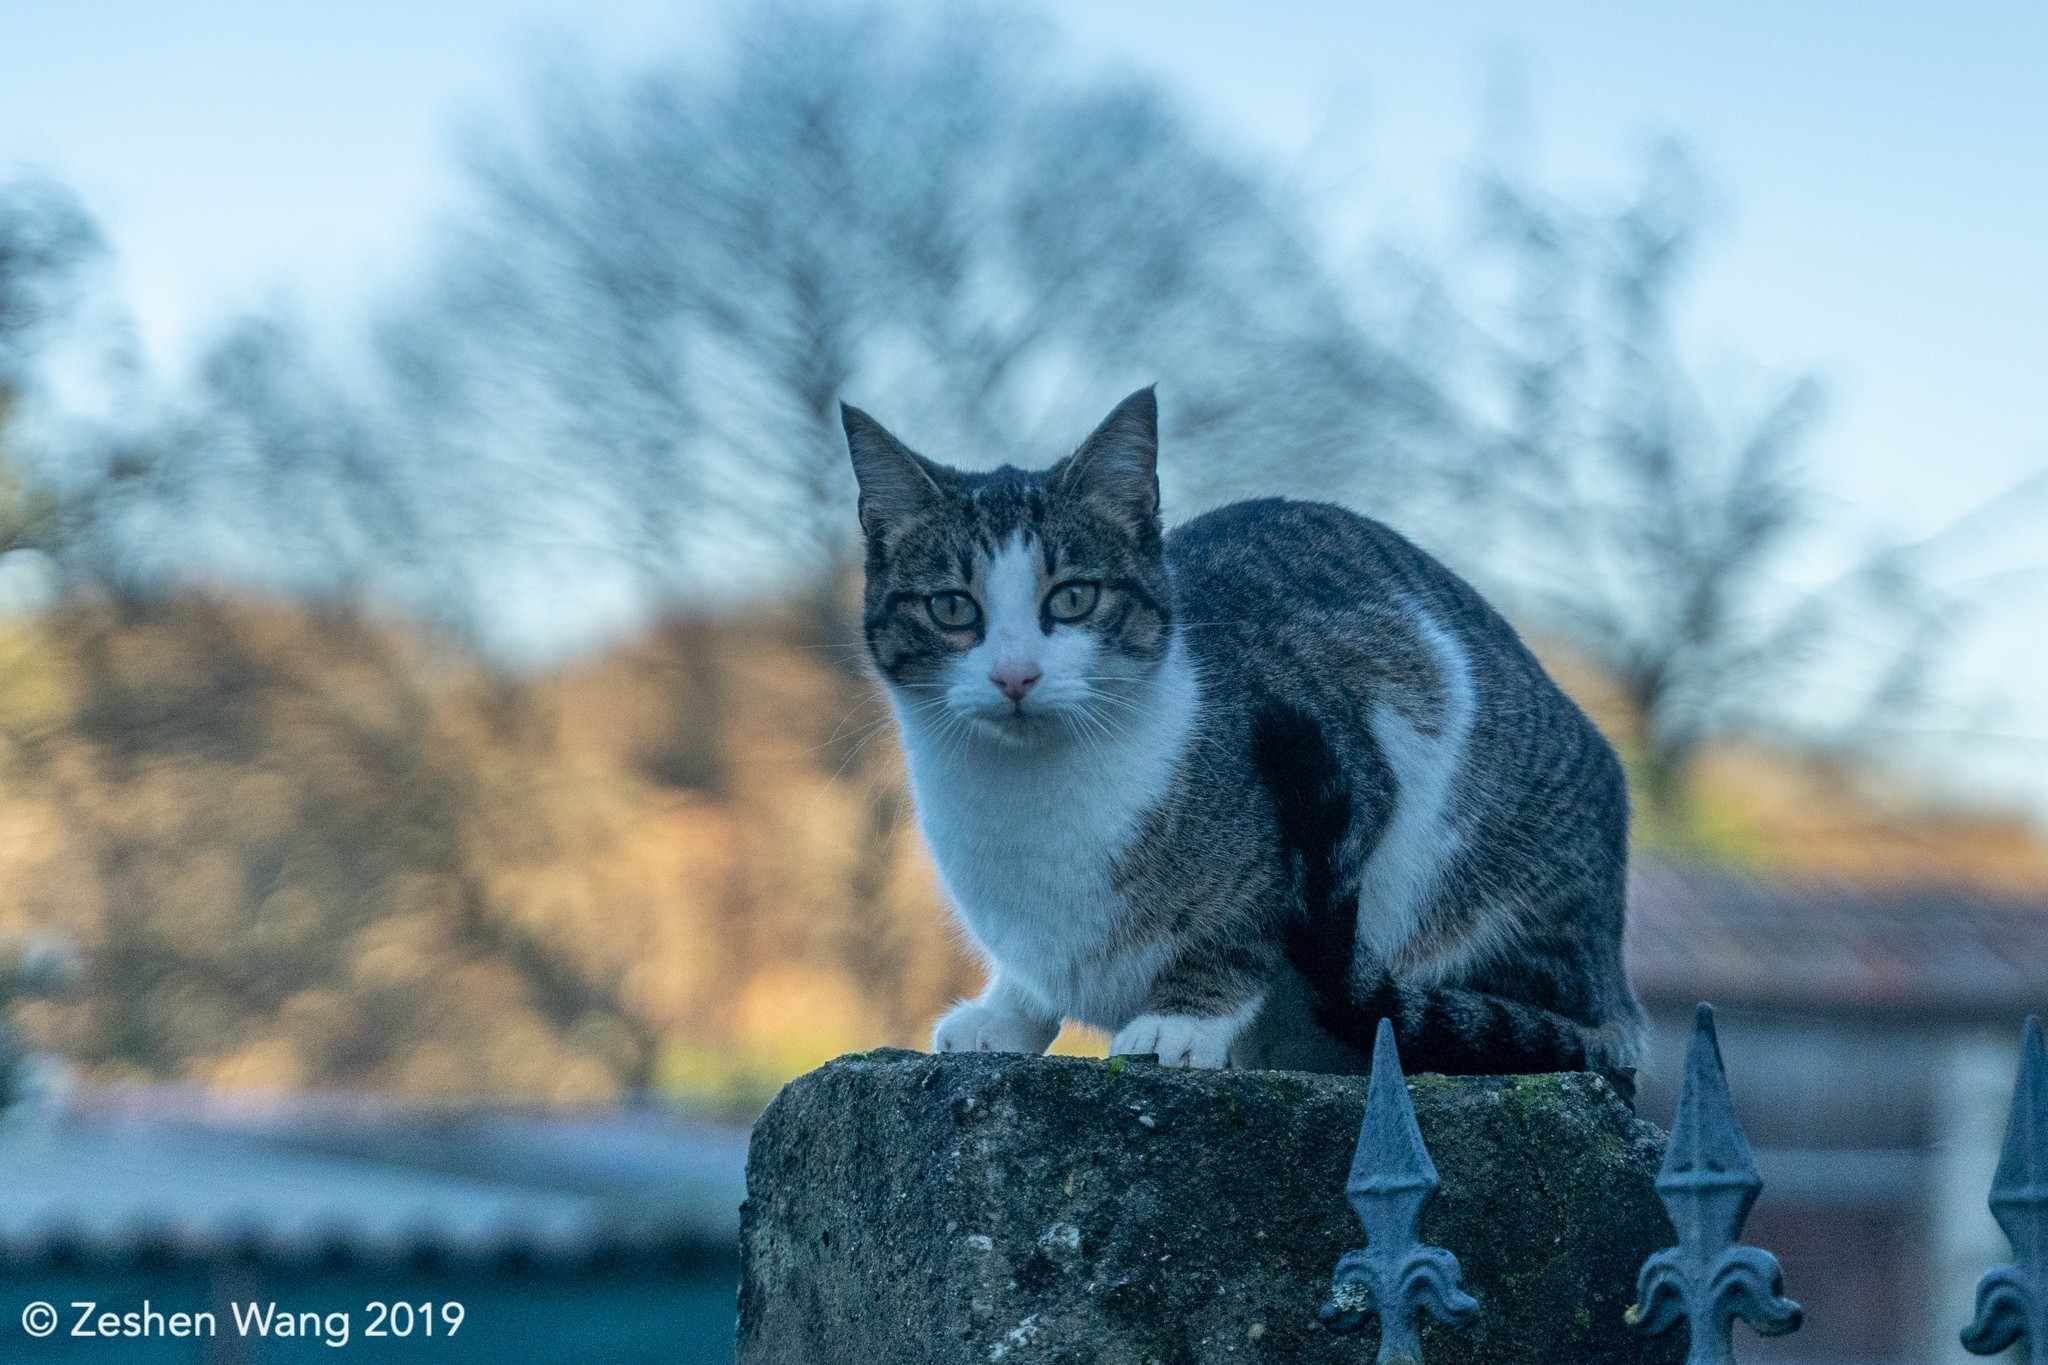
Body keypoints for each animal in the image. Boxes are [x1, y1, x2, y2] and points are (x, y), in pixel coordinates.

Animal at [843, 386, 1646, 1080]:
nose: (1016, 676)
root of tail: (1618, 991)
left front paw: (1182, 1020)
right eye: (952, 607)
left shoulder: (1361, 738)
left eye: (1073, 597)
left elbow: (1246, 924)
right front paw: (1007, 1013)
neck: (1027, 798)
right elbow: (1032, 974)